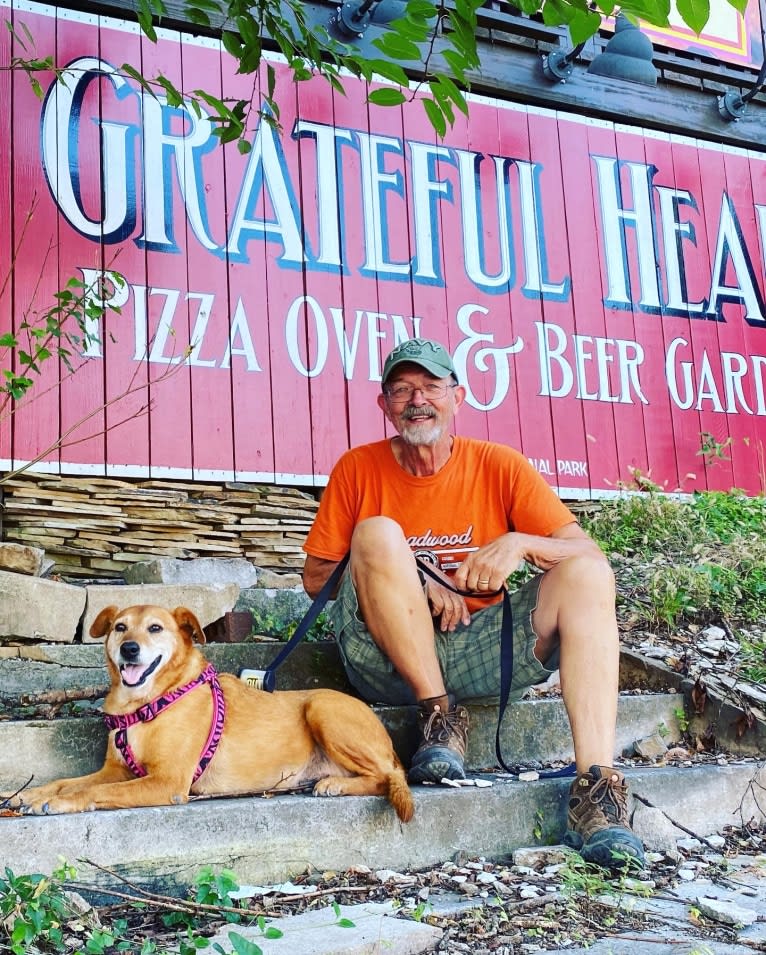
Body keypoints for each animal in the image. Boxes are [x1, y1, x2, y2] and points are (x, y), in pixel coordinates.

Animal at [4, 604, 414, 820]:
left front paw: (56, 802)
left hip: (322, 708)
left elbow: (94, 791)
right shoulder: (116, 770)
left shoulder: (167, 783)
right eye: (120, 627)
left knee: (388, 776)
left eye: (155, 628)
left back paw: (336, 784)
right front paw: (29, 794)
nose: (129, 649)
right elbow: (68, 781)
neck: (148, 703)